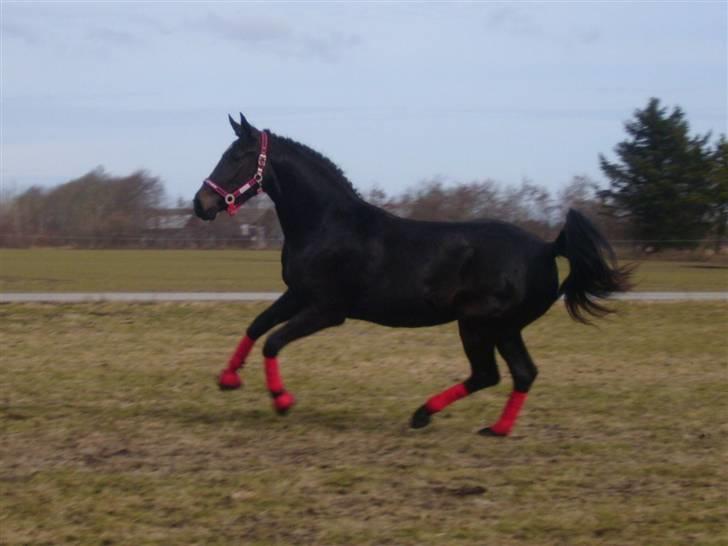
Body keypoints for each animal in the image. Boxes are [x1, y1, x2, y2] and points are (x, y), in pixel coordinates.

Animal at [195, 113, 632, 434]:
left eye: (237, 156)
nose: (201, 204)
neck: (327, 224)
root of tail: (546, 248)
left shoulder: (327, 310)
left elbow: (273, 341)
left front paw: (283, 401)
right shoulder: (298, 295)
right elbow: (256, 326)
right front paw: (227, 379)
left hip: (480, 324)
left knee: (489, 373)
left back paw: (425, 414)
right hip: (505, 328)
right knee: (521, 373)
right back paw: (492, 428)